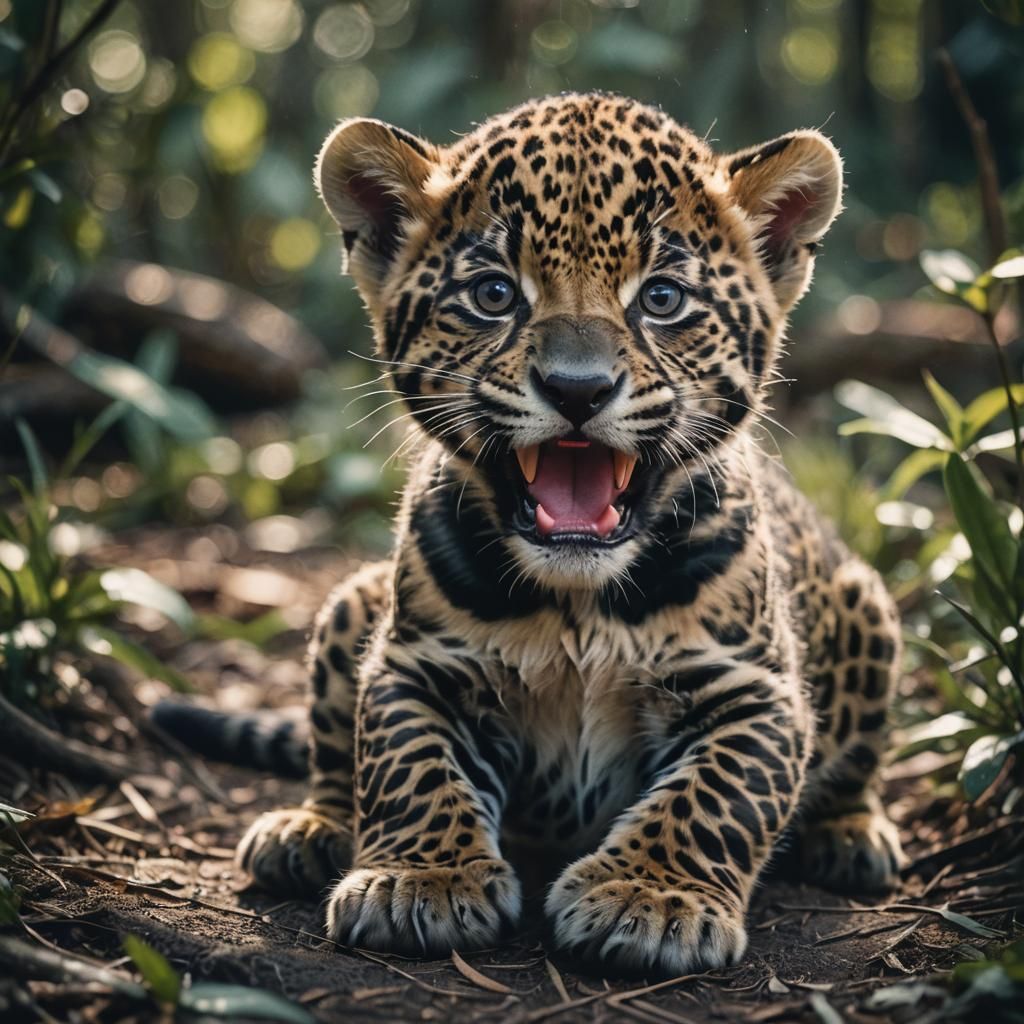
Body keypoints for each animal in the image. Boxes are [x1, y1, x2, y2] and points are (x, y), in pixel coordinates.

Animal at [159, 91, 905, 978]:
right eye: (493, 294)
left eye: (661, 299)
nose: (577, 390)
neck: (578, 602)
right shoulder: (418, 666)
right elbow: (405, 764)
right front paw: (419, 879)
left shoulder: (751, 689)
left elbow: (717, 795)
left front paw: (650, 897)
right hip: (352, 601)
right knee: (336, 751)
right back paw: (309, 829)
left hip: (868, 605)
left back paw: (853, 835)